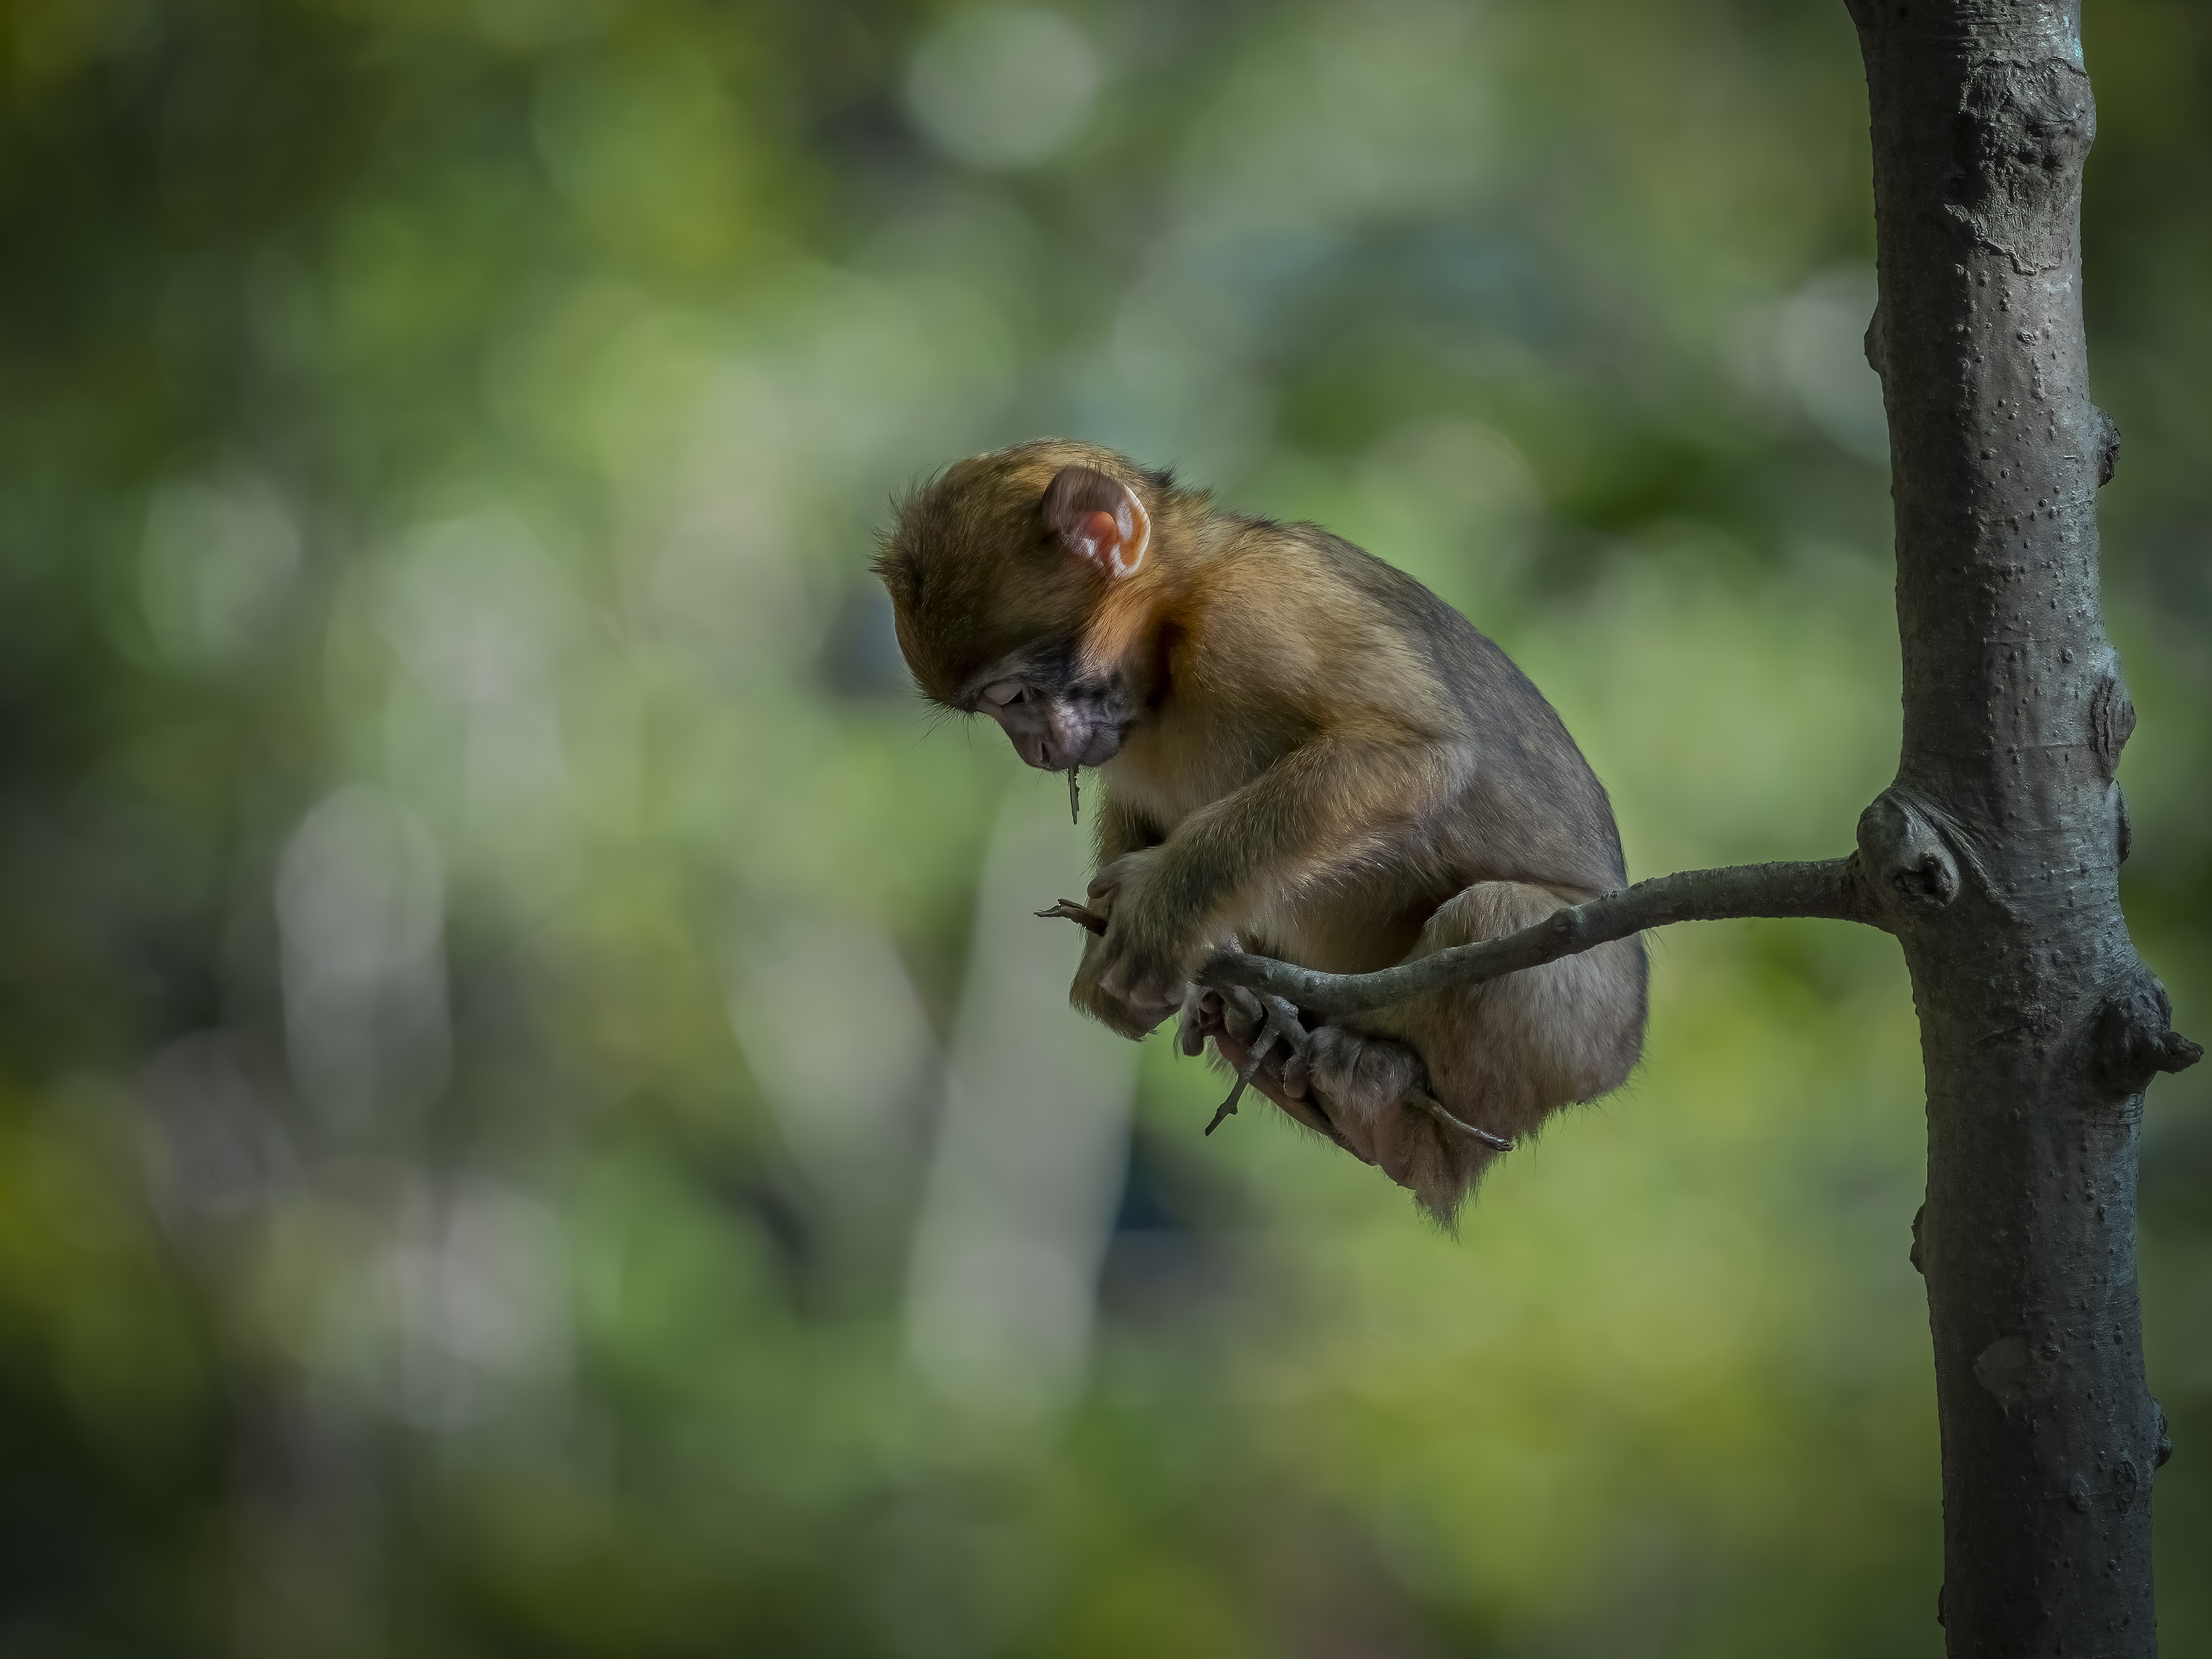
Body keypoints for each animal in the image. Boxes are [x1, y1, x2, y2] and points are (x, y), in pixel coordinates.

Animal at [871, 442, 1654, 1221]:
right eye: (996, 709)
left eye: (1011, 695)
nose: (1032, 750)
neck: (1175, 629)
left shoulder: (1258, 615)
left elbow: (1406, 754)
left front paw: (1158, 912)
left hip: (1595, 1030)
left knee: (1496, 914)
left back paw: (1407, 1135)